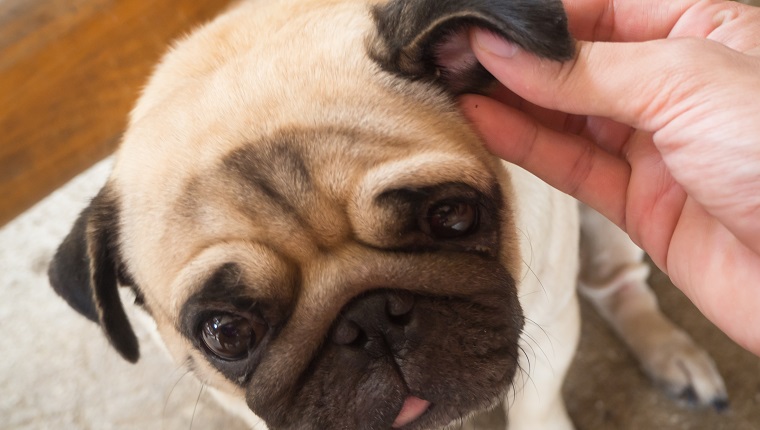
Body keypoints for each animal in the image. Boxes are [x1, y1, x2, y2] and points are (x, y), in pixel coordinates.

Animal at [49, 0, 732, 430]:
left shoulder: (552, 325)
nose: (369, 318)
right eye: (226, 333)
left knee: (614, 283)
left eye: (452, 216)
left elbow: (537, 410)